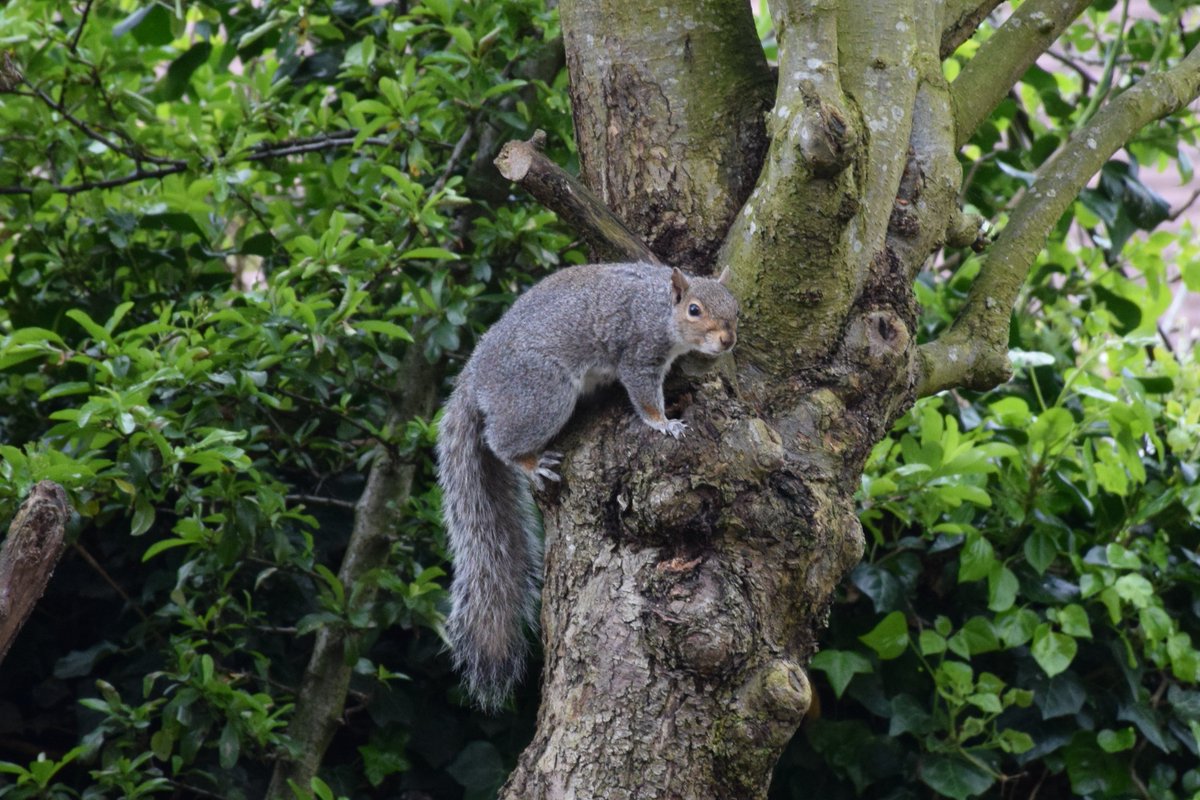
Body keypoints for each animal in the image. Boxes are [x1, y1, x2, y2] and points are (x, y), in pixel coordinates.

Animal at [439, 262, 739, 705]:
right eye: (695, 310)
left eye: (736, 307)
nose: (727, 340)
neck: (659, 307)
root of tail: (474, 377)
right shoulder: (639, 353)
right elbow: (644, 395)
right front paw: (663, 423)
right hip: (543, 394)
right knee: (498, 442)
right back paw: (530, 462)